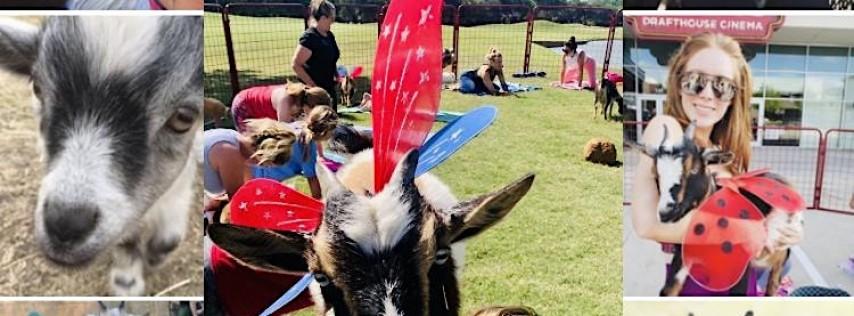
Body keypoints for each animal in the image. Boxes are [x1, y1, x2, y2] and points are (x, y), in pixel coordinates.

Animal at [0, 16, 202, 296]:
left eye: (184, 118)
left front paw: (154, 257)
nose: (66, 224)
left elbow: (169, 236)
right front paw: (126, 282)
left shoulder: (182, 175)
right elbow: (128, 237)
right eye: (37, 88)